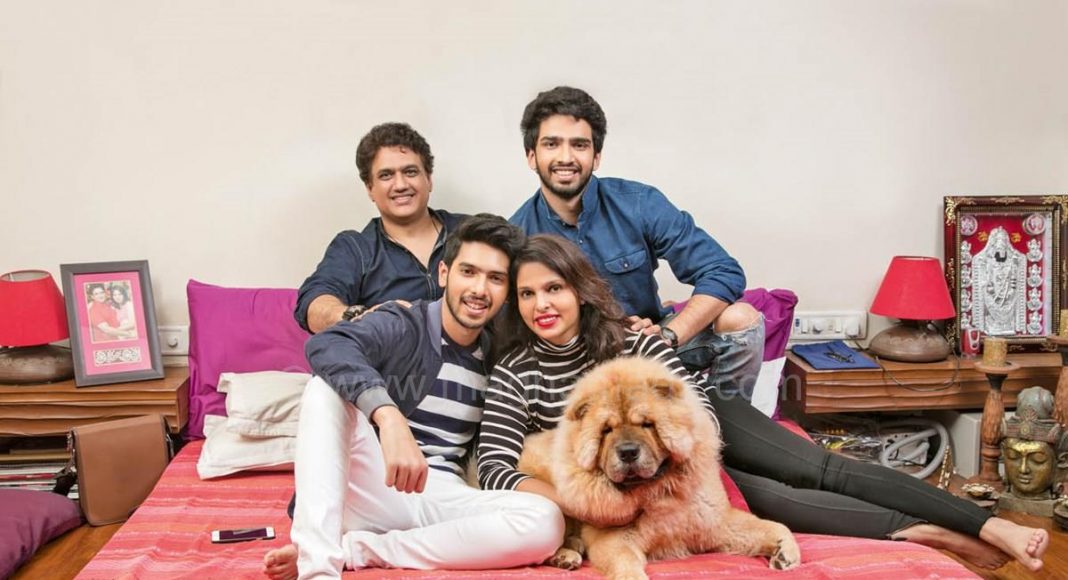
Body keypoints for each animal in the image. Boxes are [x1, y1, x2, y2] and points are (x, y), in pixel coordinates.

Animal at [518, 356, 800, 579]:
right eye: (606, 430)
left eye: (647, 424)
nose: (628, 452)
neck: (658, 490)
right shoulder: (614, 541)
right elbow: (626, 564)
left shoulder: (716, 524)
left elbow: (774, 526)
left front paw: (786, 551)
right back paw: (565, 556)